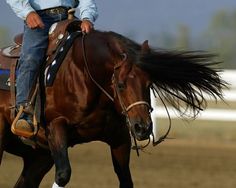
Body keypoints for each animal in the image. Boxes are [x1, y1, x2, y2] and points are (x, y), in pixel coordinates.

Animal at [0, 28, 225, 188]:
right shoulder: (56, 127)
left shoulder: (120, 137)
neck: (82, 75)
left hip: (38, 156)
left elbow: (125, 179)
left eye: (149, 83)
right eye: (121, 84)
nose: (143, 128)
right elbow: (63, 175)